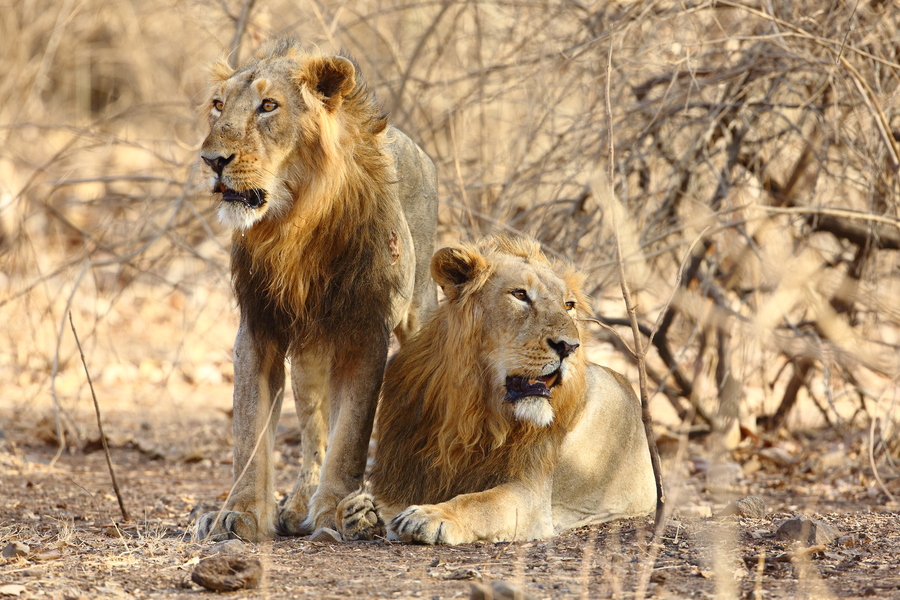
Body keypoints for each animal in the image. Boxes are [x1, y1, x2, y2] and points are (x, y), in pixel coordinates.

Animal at [193, 39, 438, 542]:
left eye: (269, 106)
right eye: (219, 105)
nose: (212, 161)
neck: (293, 223)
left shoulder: (365, 330)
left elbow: (352, 435)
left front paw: (334, 514)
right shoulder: (258, 328)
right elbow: (249, 430)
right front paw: (239, 513)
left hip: (418, 316)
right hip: (309, 356)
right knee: (312, 430)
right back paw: (297, 504)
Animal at [337, 235, 656, 544]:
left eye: (569, 305)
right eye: (520, 295)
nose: (569, 347)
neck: (474, 408)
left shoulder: (531, 492)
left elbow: (479, 503)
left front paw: (432, 516)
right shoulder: (409, 473)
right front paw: (359, 513)